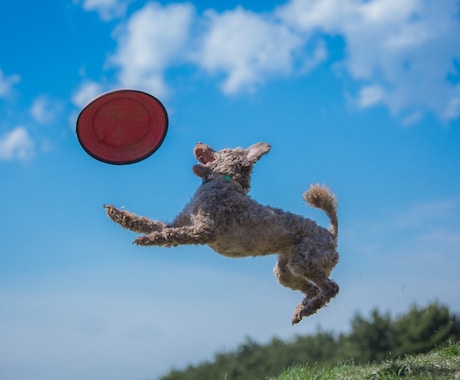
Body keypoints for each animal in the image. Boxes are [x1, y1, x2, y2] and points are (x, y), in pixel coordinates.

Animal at [106, 142, 340, 324]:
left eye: (222, 149)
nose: (199, 142)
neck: (224, 181)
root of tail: (331, 235)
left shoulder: (205, 230)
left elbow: (170, 235)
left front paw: (146, 239)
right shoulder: (181, 221)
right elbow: (155, 225)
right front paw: (118, 215)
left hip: (304, 260)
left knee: (331, 288)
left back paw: (307, 308)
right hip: (285, 271)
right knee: (313, 290)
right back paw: (302, 310)